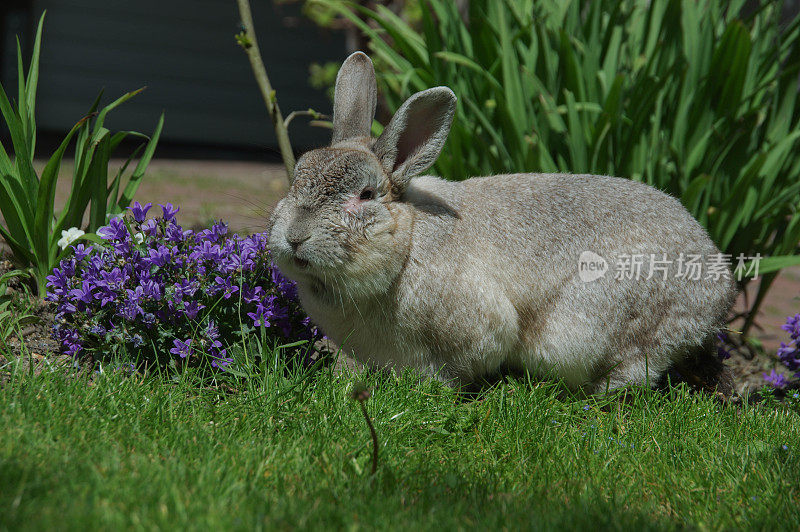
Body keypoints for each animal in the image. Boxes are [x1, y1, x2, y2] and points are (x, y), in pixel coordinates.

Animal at [268, 53, 736, 394]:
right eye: (297, 177)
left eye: (366, 195)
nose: (295, 237)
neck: (408, 239)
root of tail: (718, 288)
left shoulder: (475, 329)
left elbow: (458, 368)